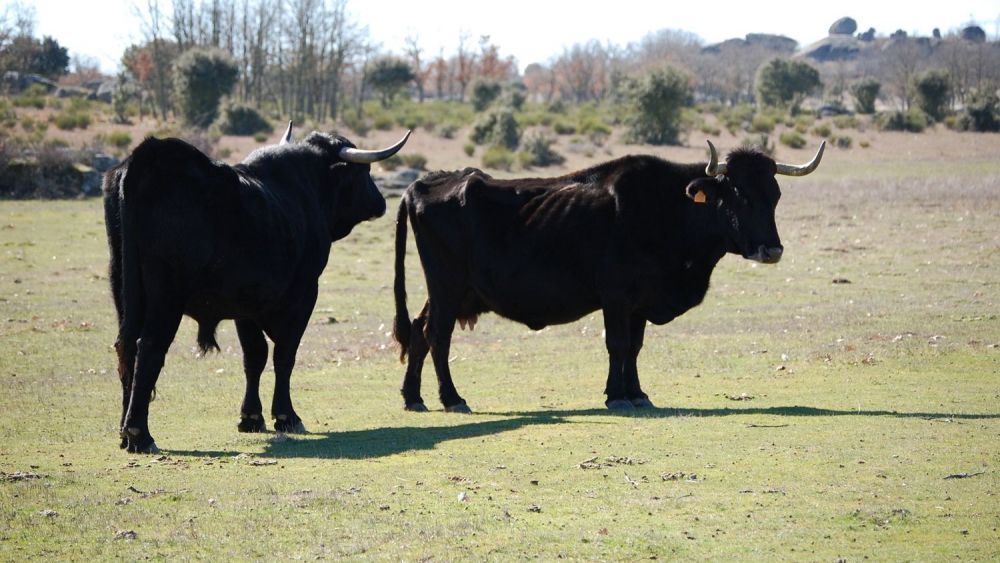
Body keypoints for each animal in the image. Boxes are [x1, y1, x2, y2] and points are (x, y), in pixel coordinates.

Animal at [103, 123, 410, 453]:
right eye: (363, 172)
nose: (380, 201)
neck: (308, 189)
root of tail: (147, 159)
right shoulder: (303, 295)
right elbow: (284, 355)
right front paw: (286, 416)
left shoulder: (246, 305)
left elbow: (254, 356)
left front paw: (251, 416)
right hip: (165, 299)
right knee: (148, 348)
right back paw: (140, 434)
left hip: (125, 294)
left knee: (125, 348)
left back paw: (124, 431)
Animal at [392, 140, 825, 412]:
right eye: (740, 195)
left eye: (775, 196)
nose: (772, 250)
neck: (668, 208)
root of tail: (427, 182)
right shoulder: (616, 297)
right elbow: (617, 345)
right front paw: (616, 396)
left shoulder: (640, 304)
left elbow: (634, 348)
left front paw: (637, 393)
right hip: (447, 287)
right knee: (437, 336)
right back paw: (452, 398)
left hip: (454, 292)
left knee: (419, 332)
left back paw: (413, 397)